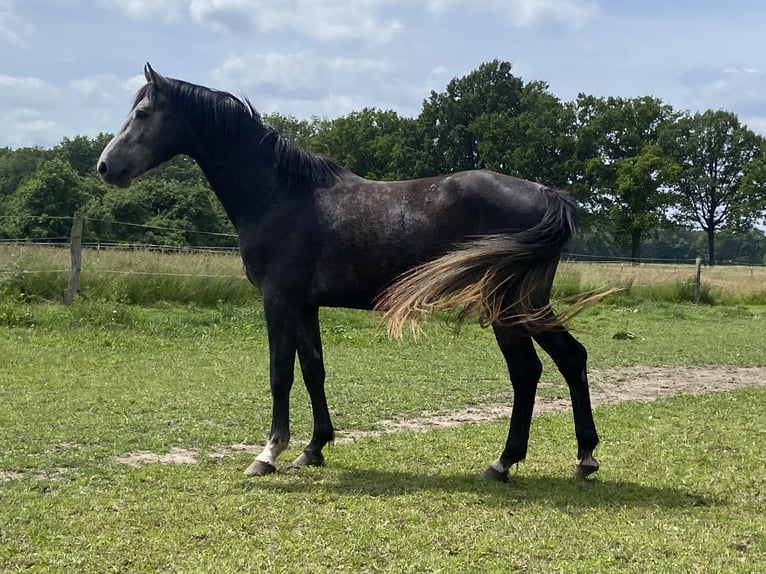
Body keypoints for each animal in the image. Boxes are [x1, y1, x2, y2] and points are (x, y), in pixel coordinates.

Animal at [97, 64, 601, 482]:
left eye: (143, 113)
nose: (105, 166)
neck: (281, 194)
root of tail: (546, 194)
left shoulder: (278, 300)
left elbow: (280, 373)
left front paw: (268, 453)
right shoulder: (305, 305)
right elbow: (313, 370)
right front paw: (313, 448)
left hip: (506, 306)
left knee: (527, 371)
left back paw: (503, 462)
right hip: (529, 304)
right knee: (571, 358)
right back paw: (584, 456)